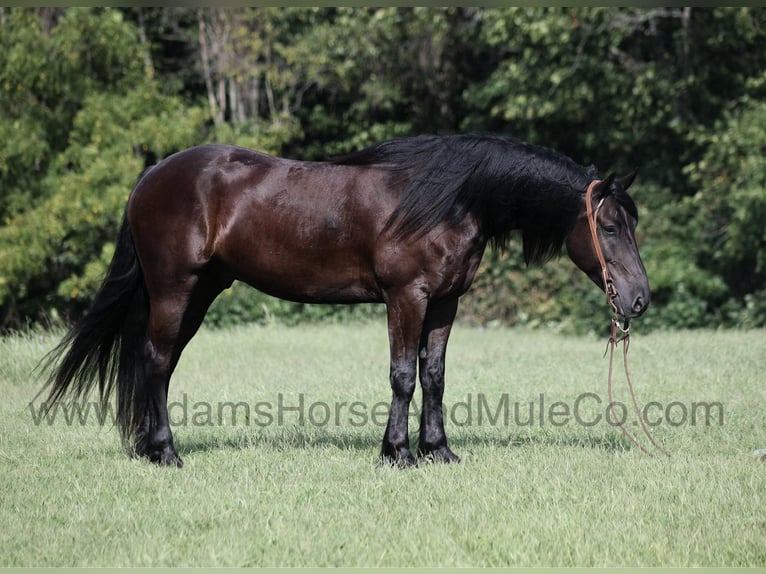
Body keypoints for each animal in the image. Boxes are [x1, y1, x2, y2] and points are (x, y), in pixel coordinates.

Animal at [42, 135, 652, 468]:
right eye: (610, 227)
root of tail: (152, 175)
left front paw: (439, 451)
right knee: (156, 361)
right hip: (176, 288)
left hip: (202, 291)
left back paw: (149, 448)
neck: (451, 198)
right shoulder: (406, 297)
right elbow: (402, 376)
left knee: (158, 365)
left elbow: (433, 376)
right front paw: (398, 454)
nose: (640, 299)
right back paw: (167, 452)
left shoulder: (445, 303)